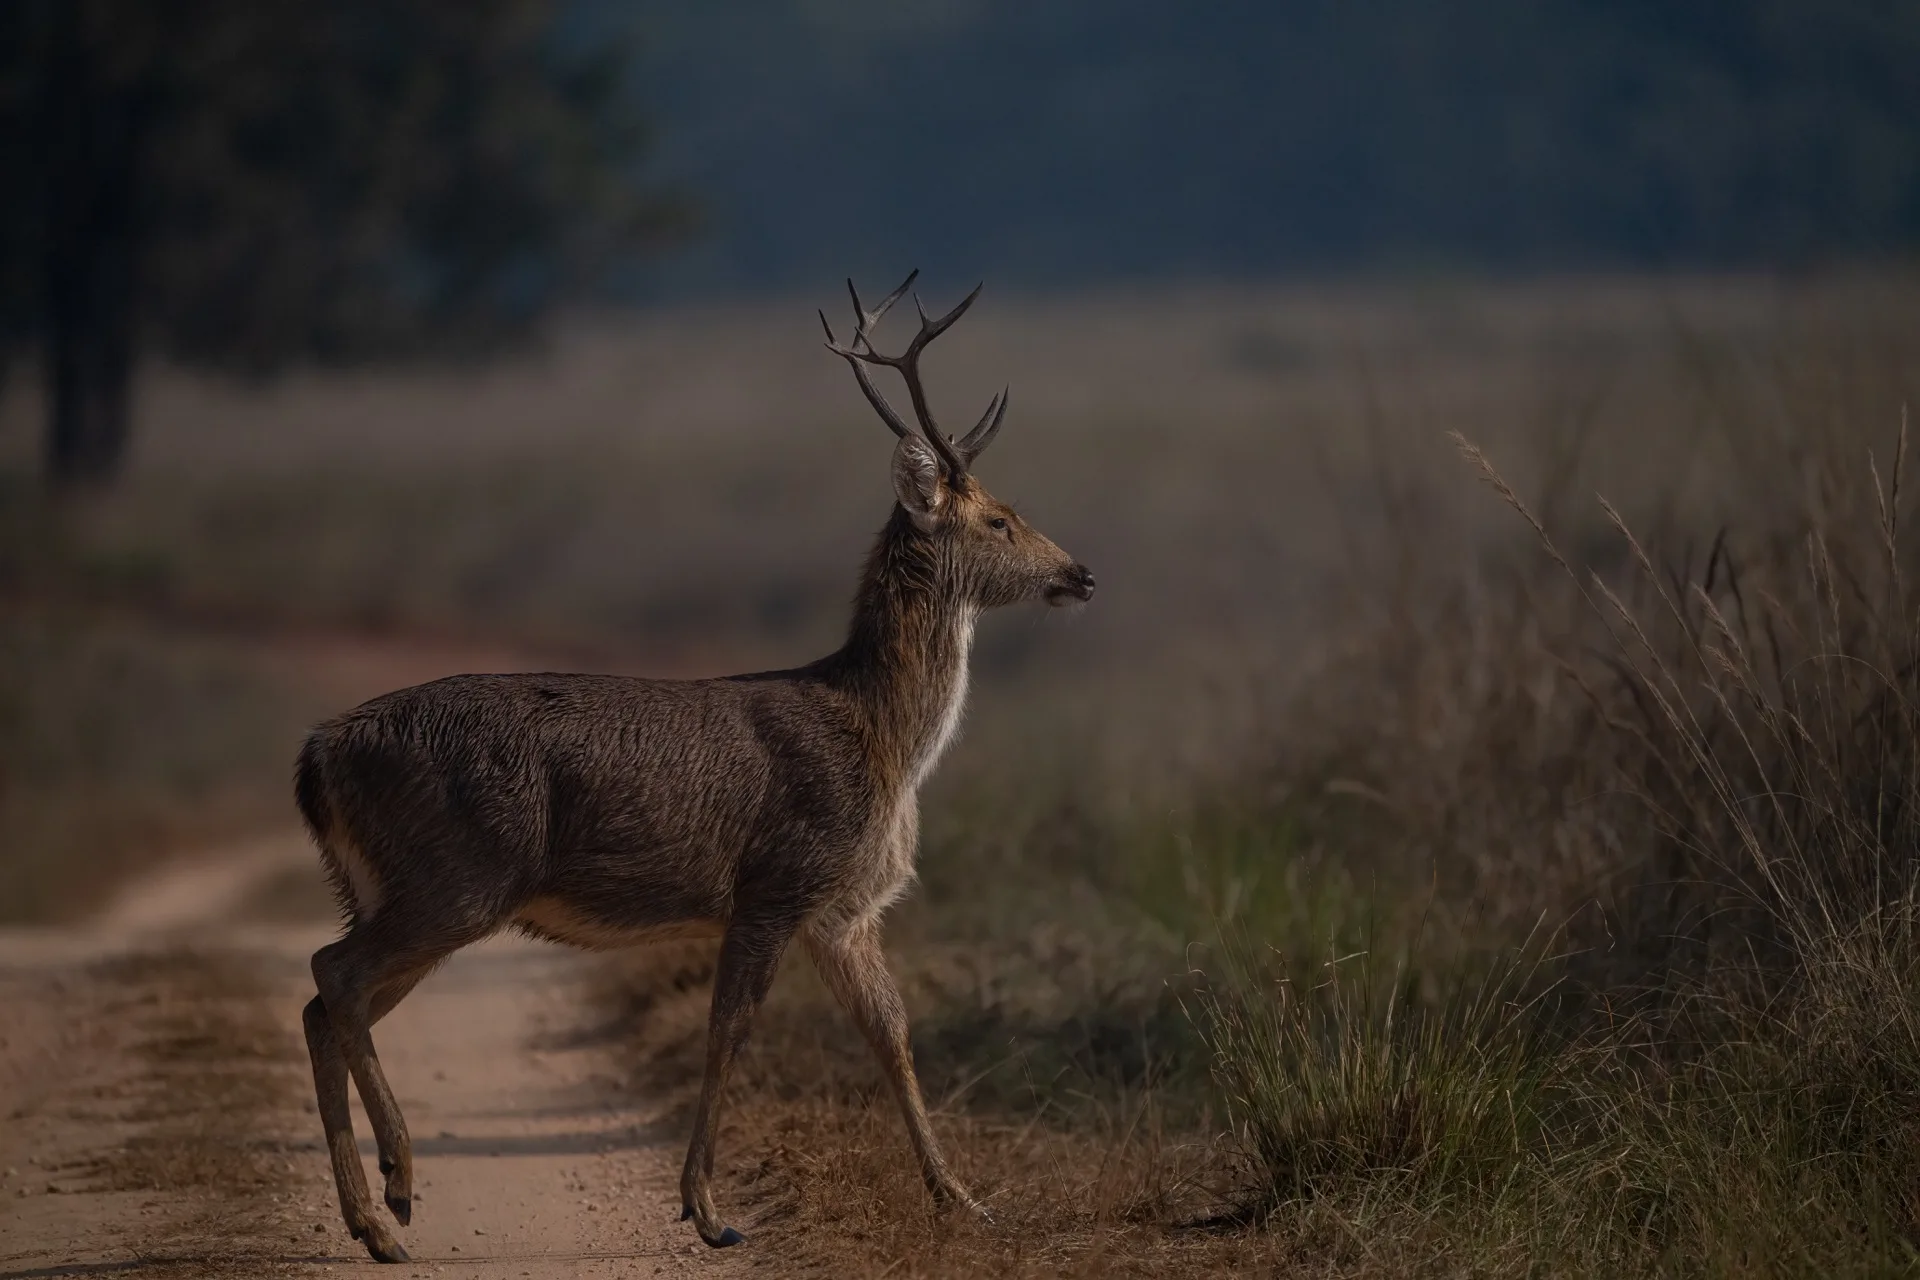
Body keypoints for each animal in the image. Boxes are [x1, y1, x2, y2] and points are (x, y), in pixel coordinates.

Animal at [293, 271, 1096, 1263]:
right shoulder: (775, 882)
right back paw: (400, 1185)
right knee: (332, 975)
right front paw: (708, 1211)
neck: (880, 738)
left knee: (325, 1001)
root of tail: (316, 756)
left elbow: (895, 1040)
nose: (1081, 573)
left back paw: (373, 1220)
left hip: (392, 886)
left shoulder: (845, 912)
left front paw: (964, 1200)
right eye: (999, 519)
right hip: (456, 874)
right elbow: (729, 1035)